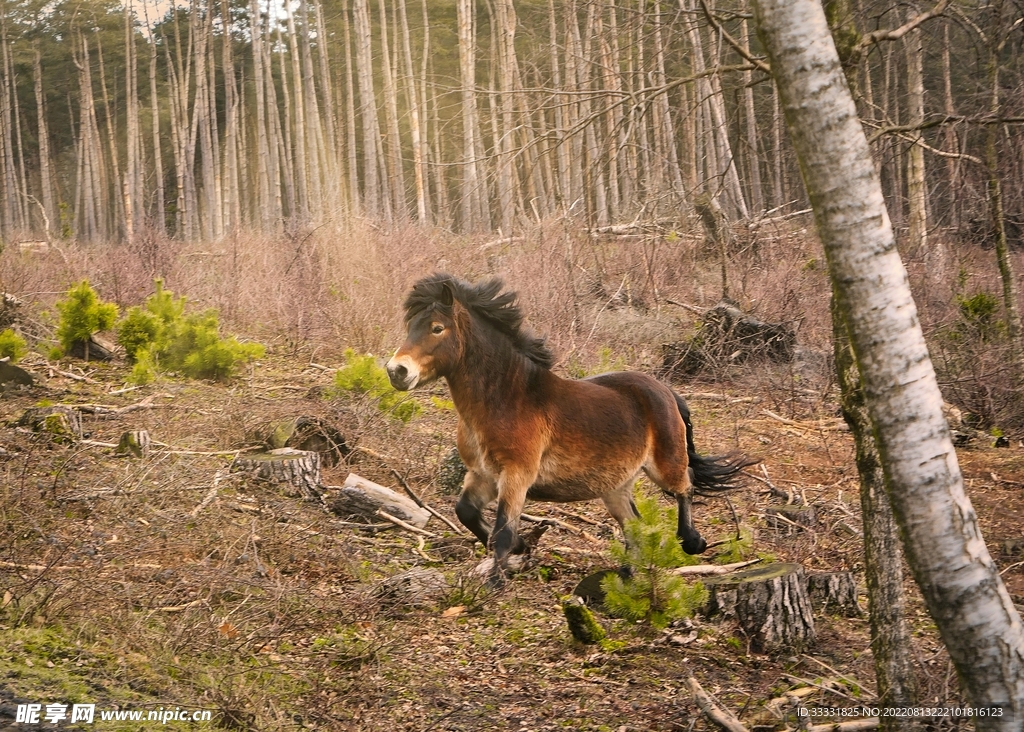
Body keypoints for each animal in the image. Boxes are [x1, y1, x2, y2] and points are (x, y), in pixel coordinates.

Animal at [386, 273, 754, 581]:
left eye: (437, 328)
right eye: (411, 325)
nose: (396, 371)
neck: (507, 397)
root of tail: (666, 391)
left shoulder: (516, 475)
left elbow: (503, 531)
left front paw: (496, 581)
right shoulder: (483, 475)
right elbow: (466, 512)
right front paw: (522, 548)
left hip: (664, 465)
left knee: (685, 485)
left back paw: (691, 541)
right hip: (615, 486)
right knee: (634, 523)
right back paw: (629, 572)